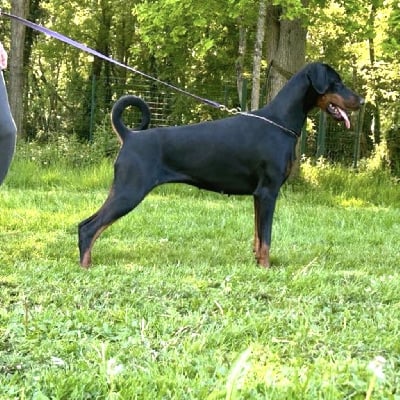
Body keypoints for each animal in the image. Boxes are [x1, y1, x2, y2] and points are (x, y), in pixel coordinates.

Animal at [78, 62, 364, 268]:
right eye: (336, 81)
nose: (361, 101)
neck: (280, 122)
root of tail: (130, 136)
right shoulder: (268, 192)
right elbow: (267, 238)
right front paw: (267, 268)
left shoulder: (258, 196)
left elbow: (258, 236)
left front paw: (257, 263)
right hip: (130, 191)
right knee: (89, 227)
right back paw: (85, 266)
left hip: (123, 190)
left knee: (86, 225)